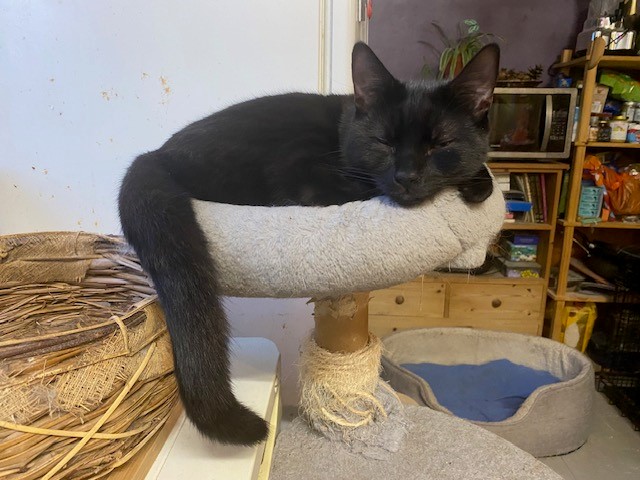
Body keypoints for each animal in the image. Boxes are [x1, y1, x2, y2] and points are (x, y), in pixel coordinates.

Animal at [118, 42, 500, 446]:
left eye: (441, 144)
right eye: (384, 142)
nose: (406, 176)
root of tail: (157, 154)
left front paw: (478, 178)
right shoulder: (327, 182)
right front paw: (478, 183)